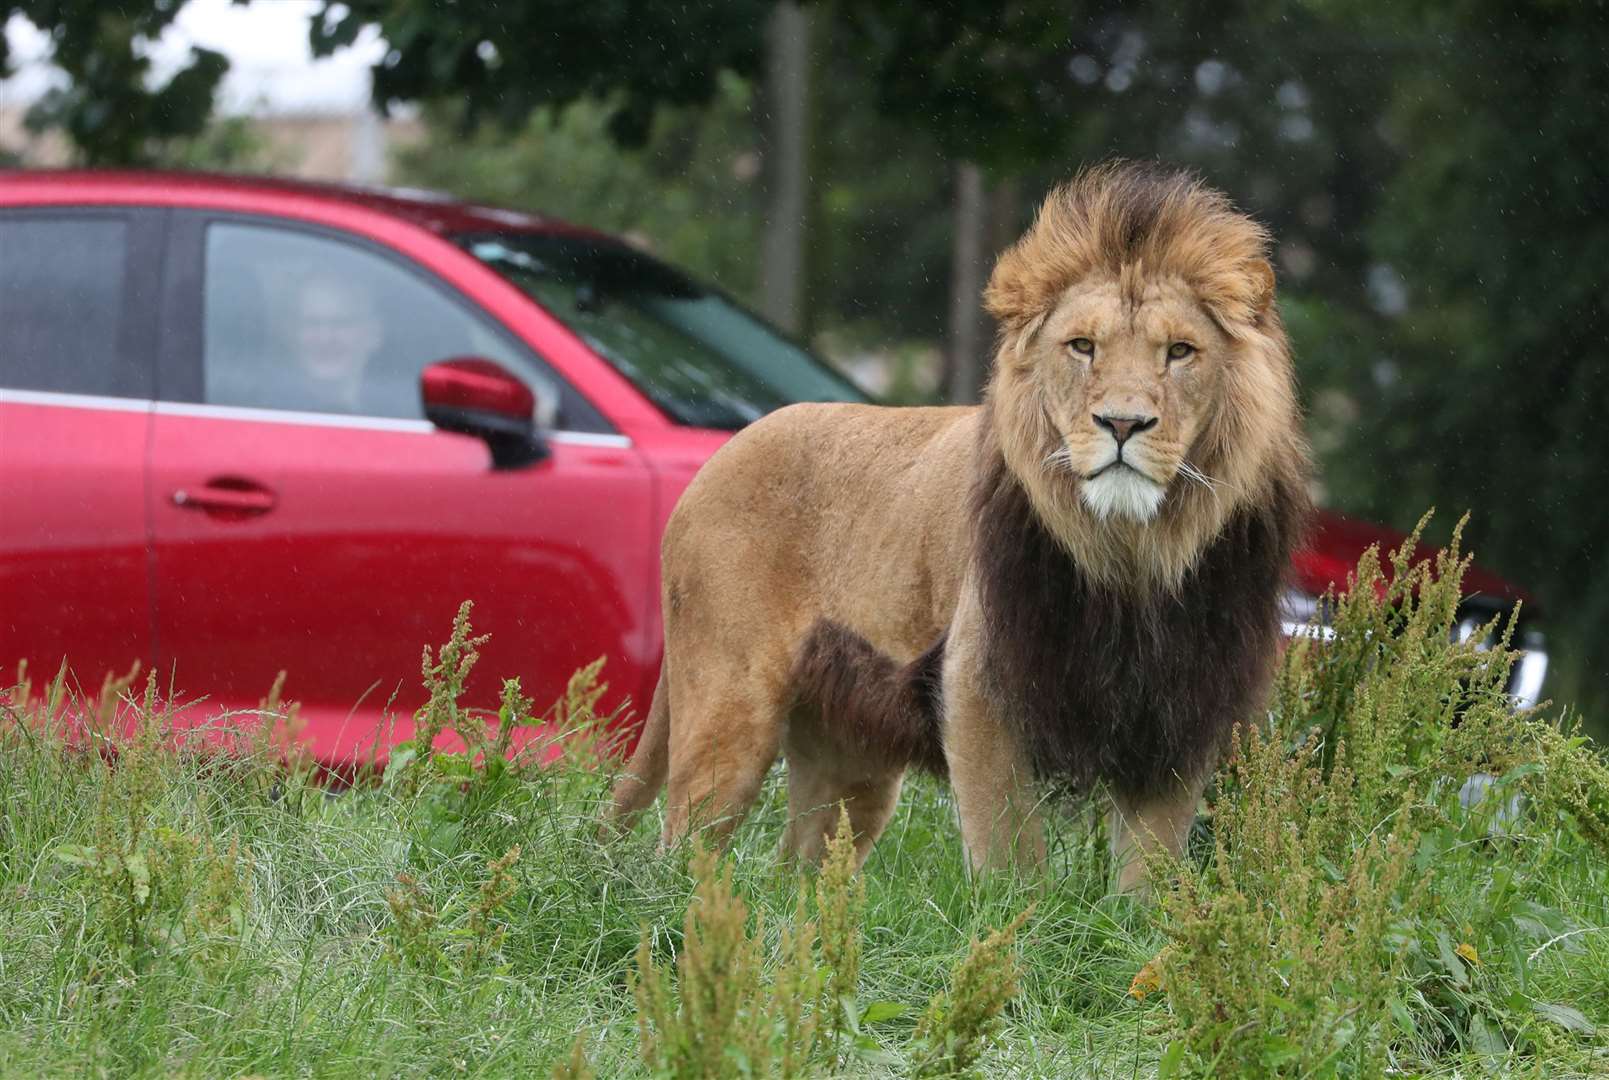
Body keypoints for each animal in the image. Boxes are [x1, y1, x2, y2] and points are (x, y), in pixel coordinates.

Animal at [608, 160, 1312, 888]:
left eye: (1179, 352)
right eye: (1082, 347)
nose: (1122, 424)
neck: (1132, 554)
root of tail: (719, 457)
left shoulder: (1182, 703)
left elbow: (1151, 866)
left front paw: (1142, 918)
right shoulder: (979, 679)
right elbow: (1009, 846)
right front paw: (1020, 915)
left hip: (849, 759)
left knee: (799, 865)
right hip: (728, 711)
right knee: (679, 851)